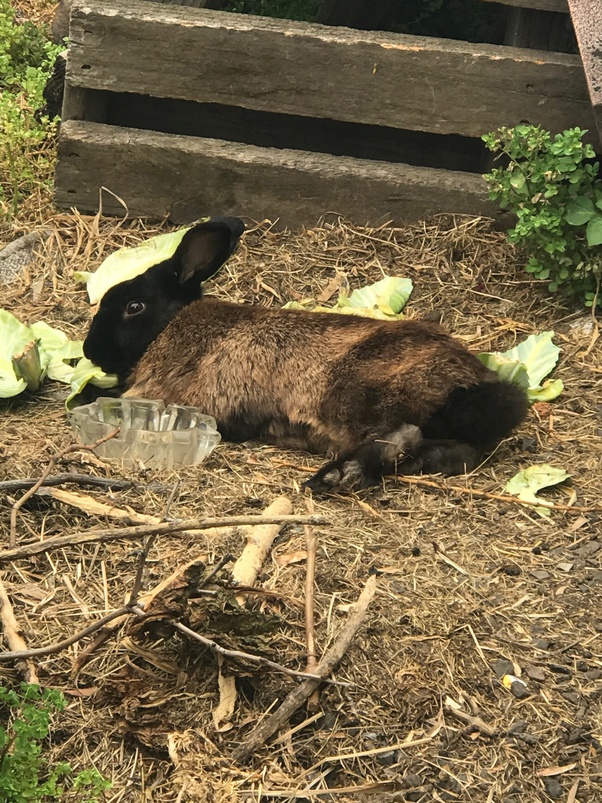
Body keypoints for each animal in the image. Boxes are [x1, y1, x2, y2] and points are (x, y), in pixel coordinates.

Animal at [83, 216, 529, 493]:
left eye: (133, 306)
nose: (89, 350)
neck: (170, 325)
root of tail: (471, 384)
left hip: (358, 396)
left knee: (397, 435)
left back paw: (335, 477)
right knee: (454, 451)